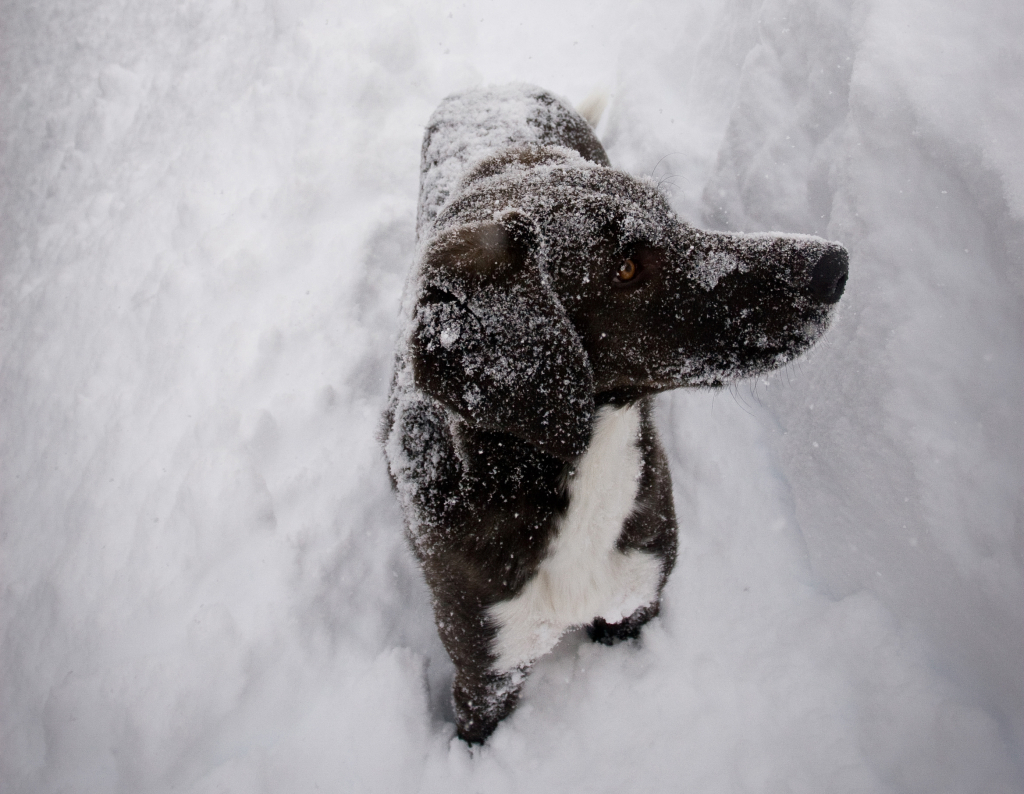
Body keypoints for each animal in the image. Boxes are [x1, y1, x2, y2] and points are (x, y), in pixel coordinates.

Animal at [385, 84, 847, 741]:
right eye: (626, 268)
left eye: (674, 216)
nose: (834, 267)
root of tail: (496, 88)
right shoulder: (484, 674)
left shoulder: (638, 603)